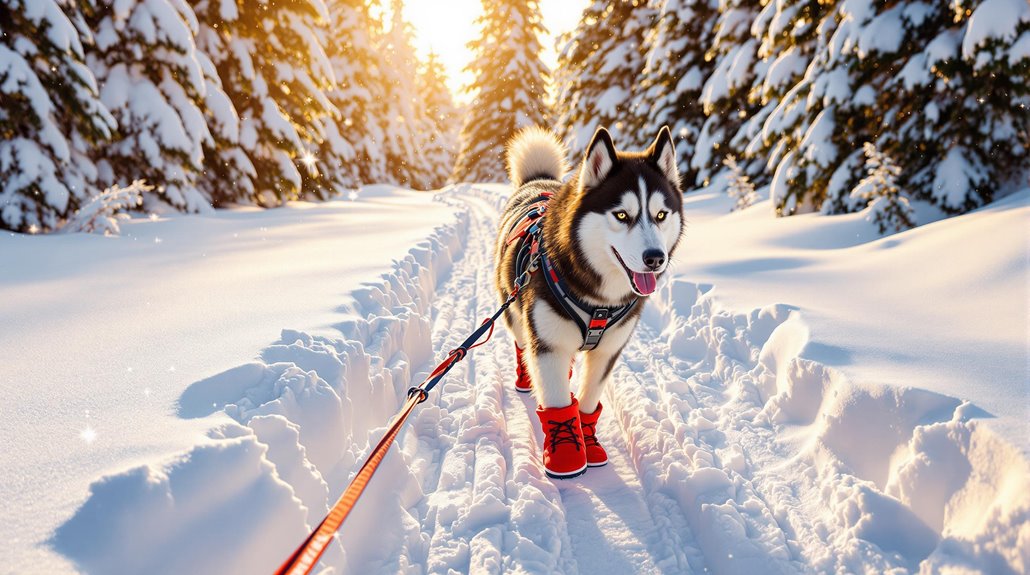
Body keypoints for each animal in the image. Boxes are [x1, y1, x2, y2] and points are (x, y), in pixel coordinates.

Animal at [496, 127, 683, 482]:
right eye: (622, 215)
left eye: (661, 215)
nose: (656, 258)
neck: (599, 300)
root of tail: (538, 182)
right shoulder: (549, 346)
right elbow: (556, 399)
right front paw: (566, 455)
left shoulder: (609, 350)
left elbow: (588, 399)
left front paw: (588, 440)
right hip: (514, 310)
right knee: (521, 341)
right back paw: (525, 378)